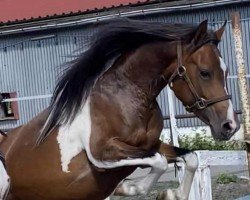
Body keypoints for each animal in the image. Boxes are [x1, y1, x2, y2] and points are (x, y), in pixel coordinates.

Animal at [0, 18, 239, 198]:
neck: (128, 98)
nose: (230, 126)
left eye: (226, 72)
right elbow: (159, 162)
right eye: (205, 72)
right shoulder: (103, 153)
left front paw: (171, 194)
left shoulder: (151, 144)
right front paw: (126, 188)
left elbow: (189, 158)